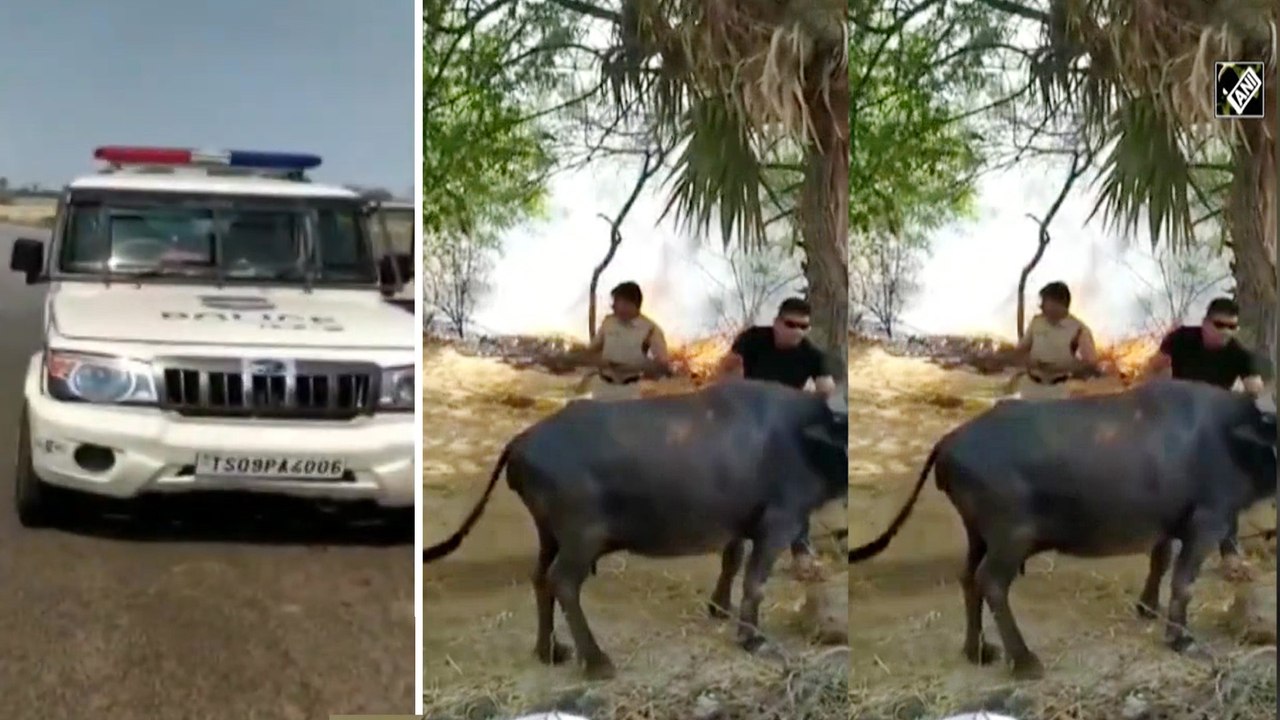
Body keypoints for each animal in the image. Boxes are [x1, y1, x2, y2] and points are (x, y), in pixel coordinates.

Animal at [423, 379, 848, 680]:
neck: (802, 438)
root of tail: (521, 440)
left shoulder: (740, 523)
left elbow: (731, 560)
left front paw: (719, 608)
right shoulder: (778, 523)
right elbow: (755, 581)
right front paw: (752, 638)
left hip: (548, 533)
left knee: (540, 578)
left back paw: (549, 651)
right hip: (581, 537)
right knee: (563, 582)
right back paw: (596, 661)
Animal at [847, 379, 1276, 680]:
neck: (1230, 436)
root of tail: (950, 440)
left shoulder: (1169, 523)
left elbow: (1160, 561)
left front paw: (1147, 608)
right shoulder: (1207, 523)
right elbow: (1184, 581)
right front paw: (1181, 638)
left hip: (978, 534)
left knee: (968, 578)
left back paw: (978, 650)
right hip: (1011, 537)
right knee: (991, 582)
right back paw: (1024, 660)